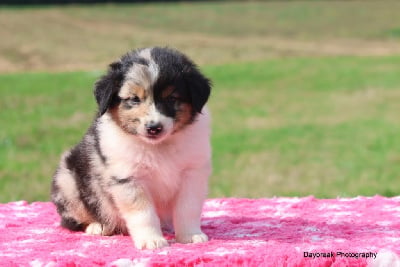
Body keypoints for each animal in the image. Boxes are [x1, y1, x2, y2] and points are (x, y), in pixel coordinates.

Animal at [51, 47, 212, 250]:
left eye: (172, 98)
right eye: (134, 99)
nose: (154, 128)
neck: (158, 147)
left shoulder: (192, 173)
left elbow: (188, 208)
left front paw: (190, 236)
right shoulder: (128, 177)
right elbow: (144, 213)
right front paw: (151, 240)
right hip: (67, 181)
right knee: (72, 219)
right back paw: (97, 226)